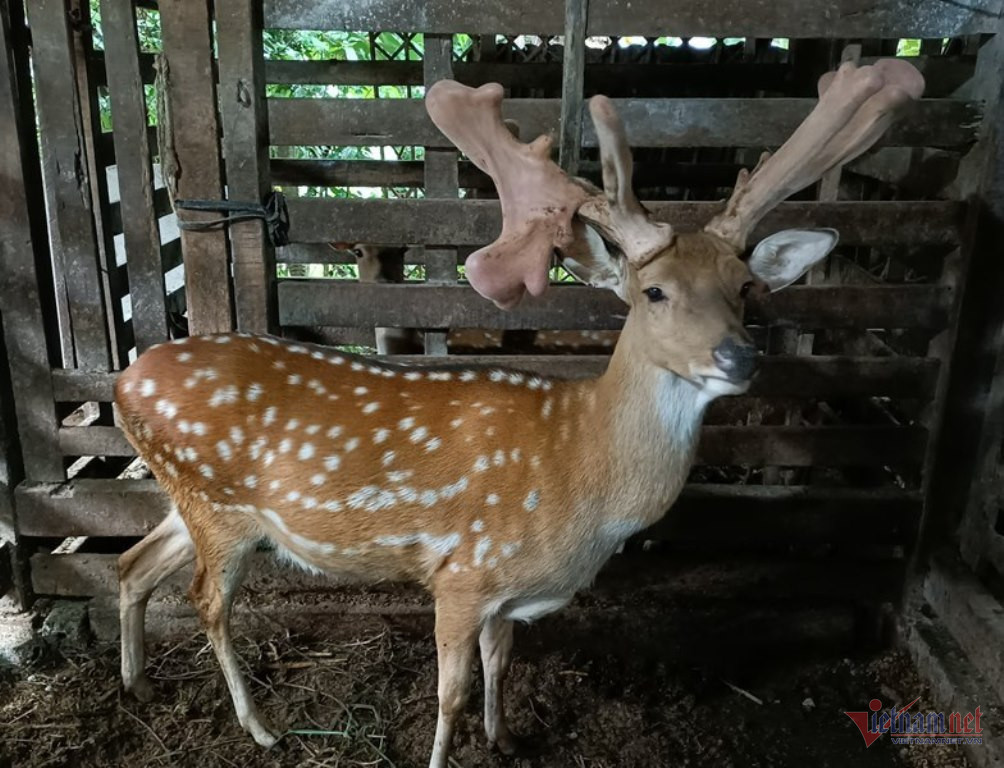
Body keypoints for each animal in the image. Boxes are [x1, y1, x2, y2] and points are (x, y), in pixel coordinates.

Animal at [113, 59, 919, 766]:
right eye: (654, 291)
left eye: (746, 287)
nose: (740, 357)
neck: (581, 476)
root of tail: (123, 382)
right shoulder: (461, 571)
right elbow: (452, 693)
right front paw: (445, 755)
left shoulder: (506, 595)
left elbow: (501, 666)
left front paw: (507, 740)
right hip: (218, 506)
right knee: (205, 602)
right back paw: (260, 729)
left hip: (188, 499)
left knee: (131, 563)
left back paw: (138, 685)